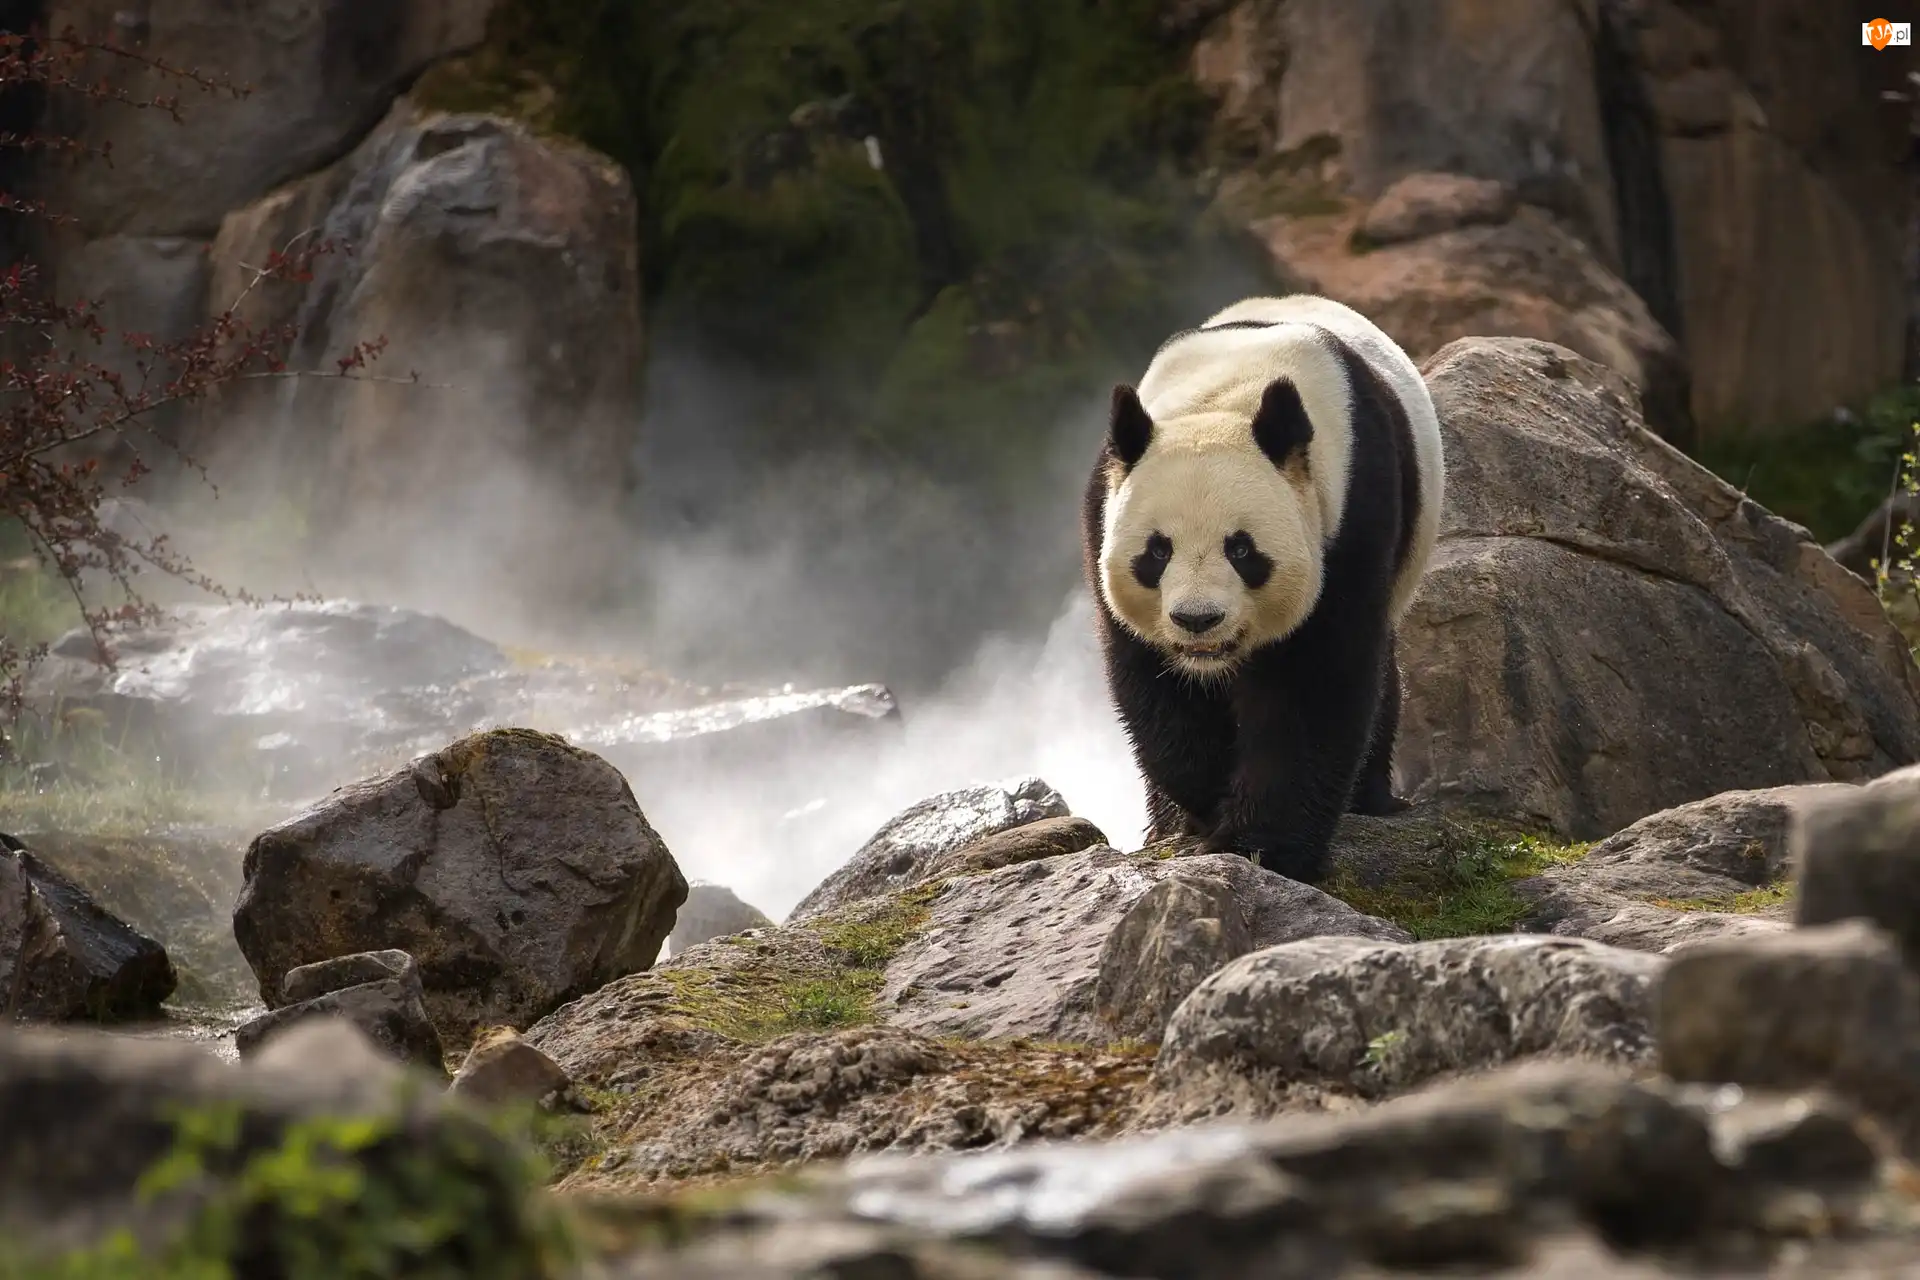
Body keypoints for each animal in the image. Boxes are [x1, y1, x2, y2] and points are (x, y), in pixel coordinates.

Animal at [1081, 294, 1444, 885]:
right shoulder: (1104, 515)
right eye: (1157, 552)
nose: (1198, 620)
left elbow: (1313, 684)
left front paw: (1263, 847)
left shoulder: (1349, 514)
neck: (1225, 399)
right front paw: (1207, 803)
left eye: (1242, 550)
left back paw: (1372, 799)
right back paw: (1164, 825)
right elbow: (1153, 685)